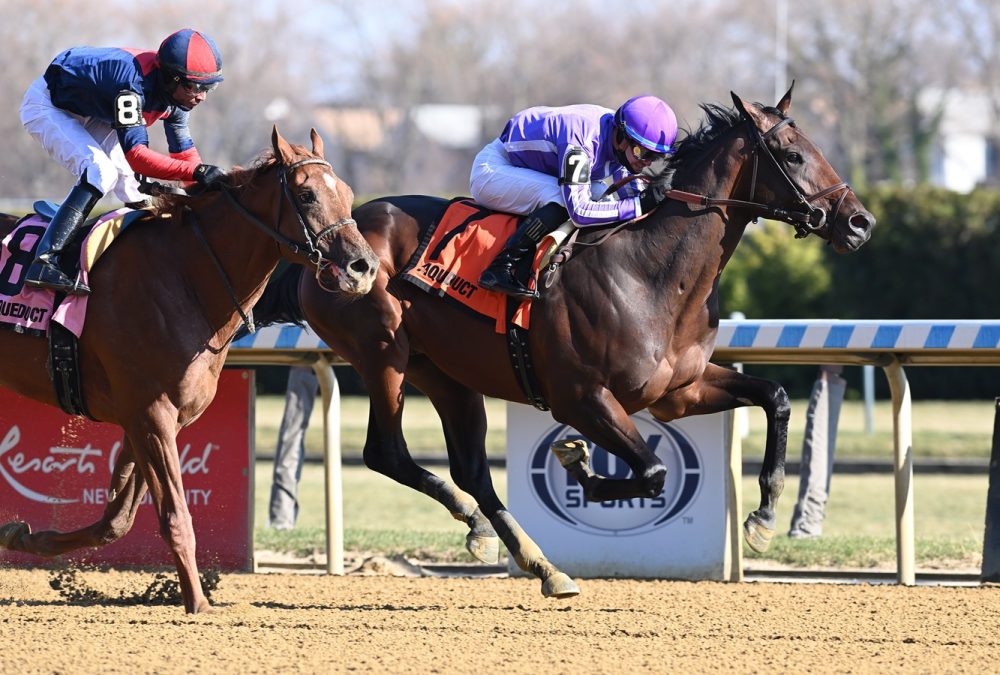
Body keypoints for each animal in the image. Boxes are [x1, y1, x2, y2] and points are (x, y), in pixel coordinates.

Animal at [0, 125, 378, 612]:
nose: (363, 268)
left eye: (347, 194)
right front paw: (198, 604)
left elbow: (117, 519)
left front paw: (22, 536)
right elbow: (175, 515)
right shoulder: (151, 414)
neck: (186, 278)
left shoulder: (151, 418)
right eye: (307, 194)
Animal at [260, 87, 876, 600]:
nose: (859, 222)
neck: (651, 272)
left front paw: (763, 519)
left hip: (447, 374)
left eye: (815, 147)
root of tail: (327, 244)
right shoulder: (581, 399)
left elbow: (774, 397)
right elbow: (652, 473)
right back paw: (495, 533)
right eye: (792, 155)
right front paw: (577, 460)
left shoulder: (677, 393)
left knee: (471, 469)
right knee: (387, 453)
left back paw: (532, 560)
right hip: (384, 352)